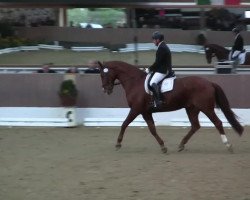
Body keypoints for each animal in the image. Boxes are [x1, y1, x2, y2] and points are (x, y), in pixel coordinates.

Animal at [96, 61, 243, 153]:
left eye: (103, 74)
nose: (105, 90)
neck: (134, 82)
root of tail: (209, 82)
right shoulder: (145, 112)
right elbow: (152, 129)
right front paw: (163, 147)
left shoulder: (136, 110)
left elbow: (124, 124)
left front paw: (118, 144)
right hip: (191, 108)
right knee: (195, 126)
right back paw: (181, 145)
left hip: (206, 108)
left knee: (217, 123)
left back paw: (228, 145)